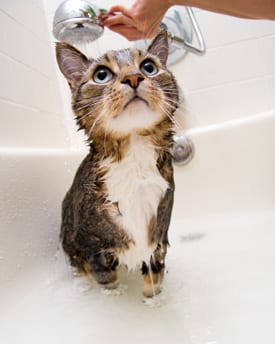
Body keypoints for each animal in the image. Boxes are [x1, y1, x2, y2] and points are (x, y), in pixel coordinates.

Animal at [56, 30, 181, 296]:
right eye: (101, 75)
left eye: (149, 67)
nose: (133, 77)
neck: (134, 162)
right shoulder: (91, 246)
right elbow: (107, 278)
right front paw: (114, 293)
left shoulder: (159, 237)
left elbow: (155, 276)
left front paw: (152, 298)